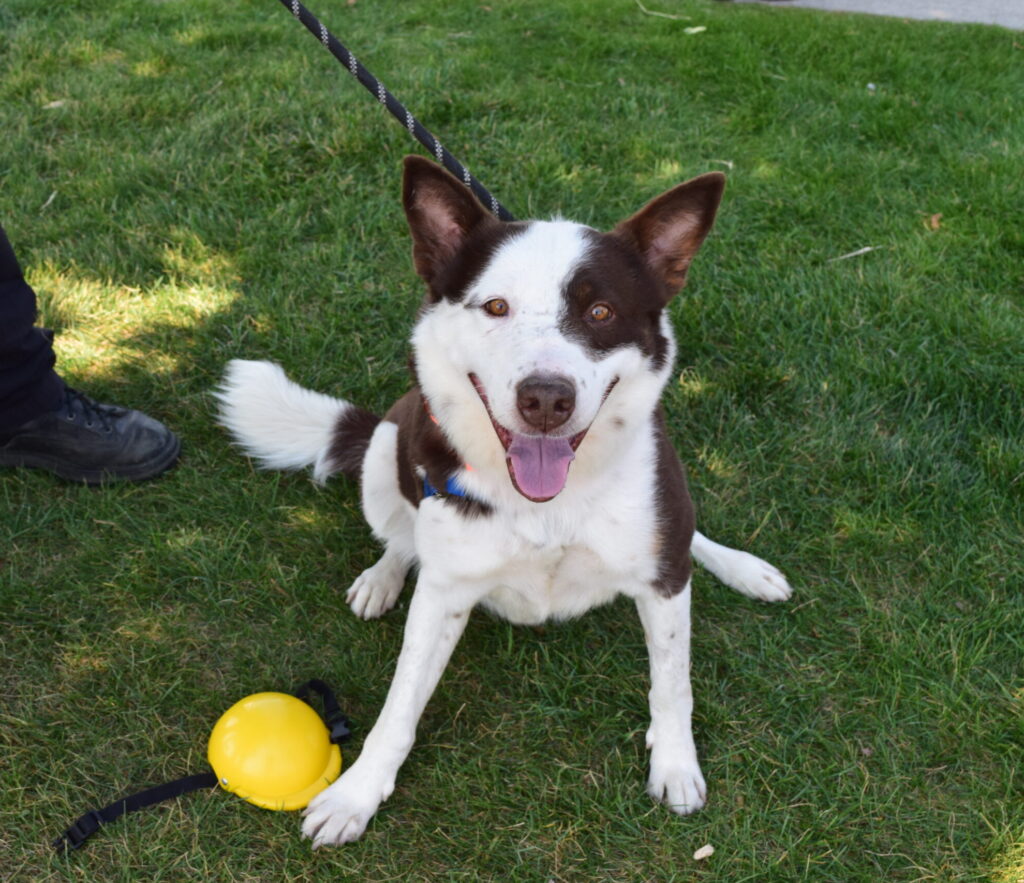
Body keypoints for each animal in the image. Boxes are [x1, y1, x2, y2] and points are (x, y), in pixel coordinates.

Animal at [216, 155, 790, 848]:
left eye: (601, 311)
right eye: (494, 306)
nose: (546, 399)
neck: (549, 502)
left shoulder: (662, 579)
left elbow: (672, 683)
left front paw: (676, 764)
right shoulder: (443, 592)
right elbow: (400, 704)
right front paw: (356, 793)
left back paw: (744, 568)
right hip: (386, 449)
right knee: (400, 536)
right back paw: (381, 578)